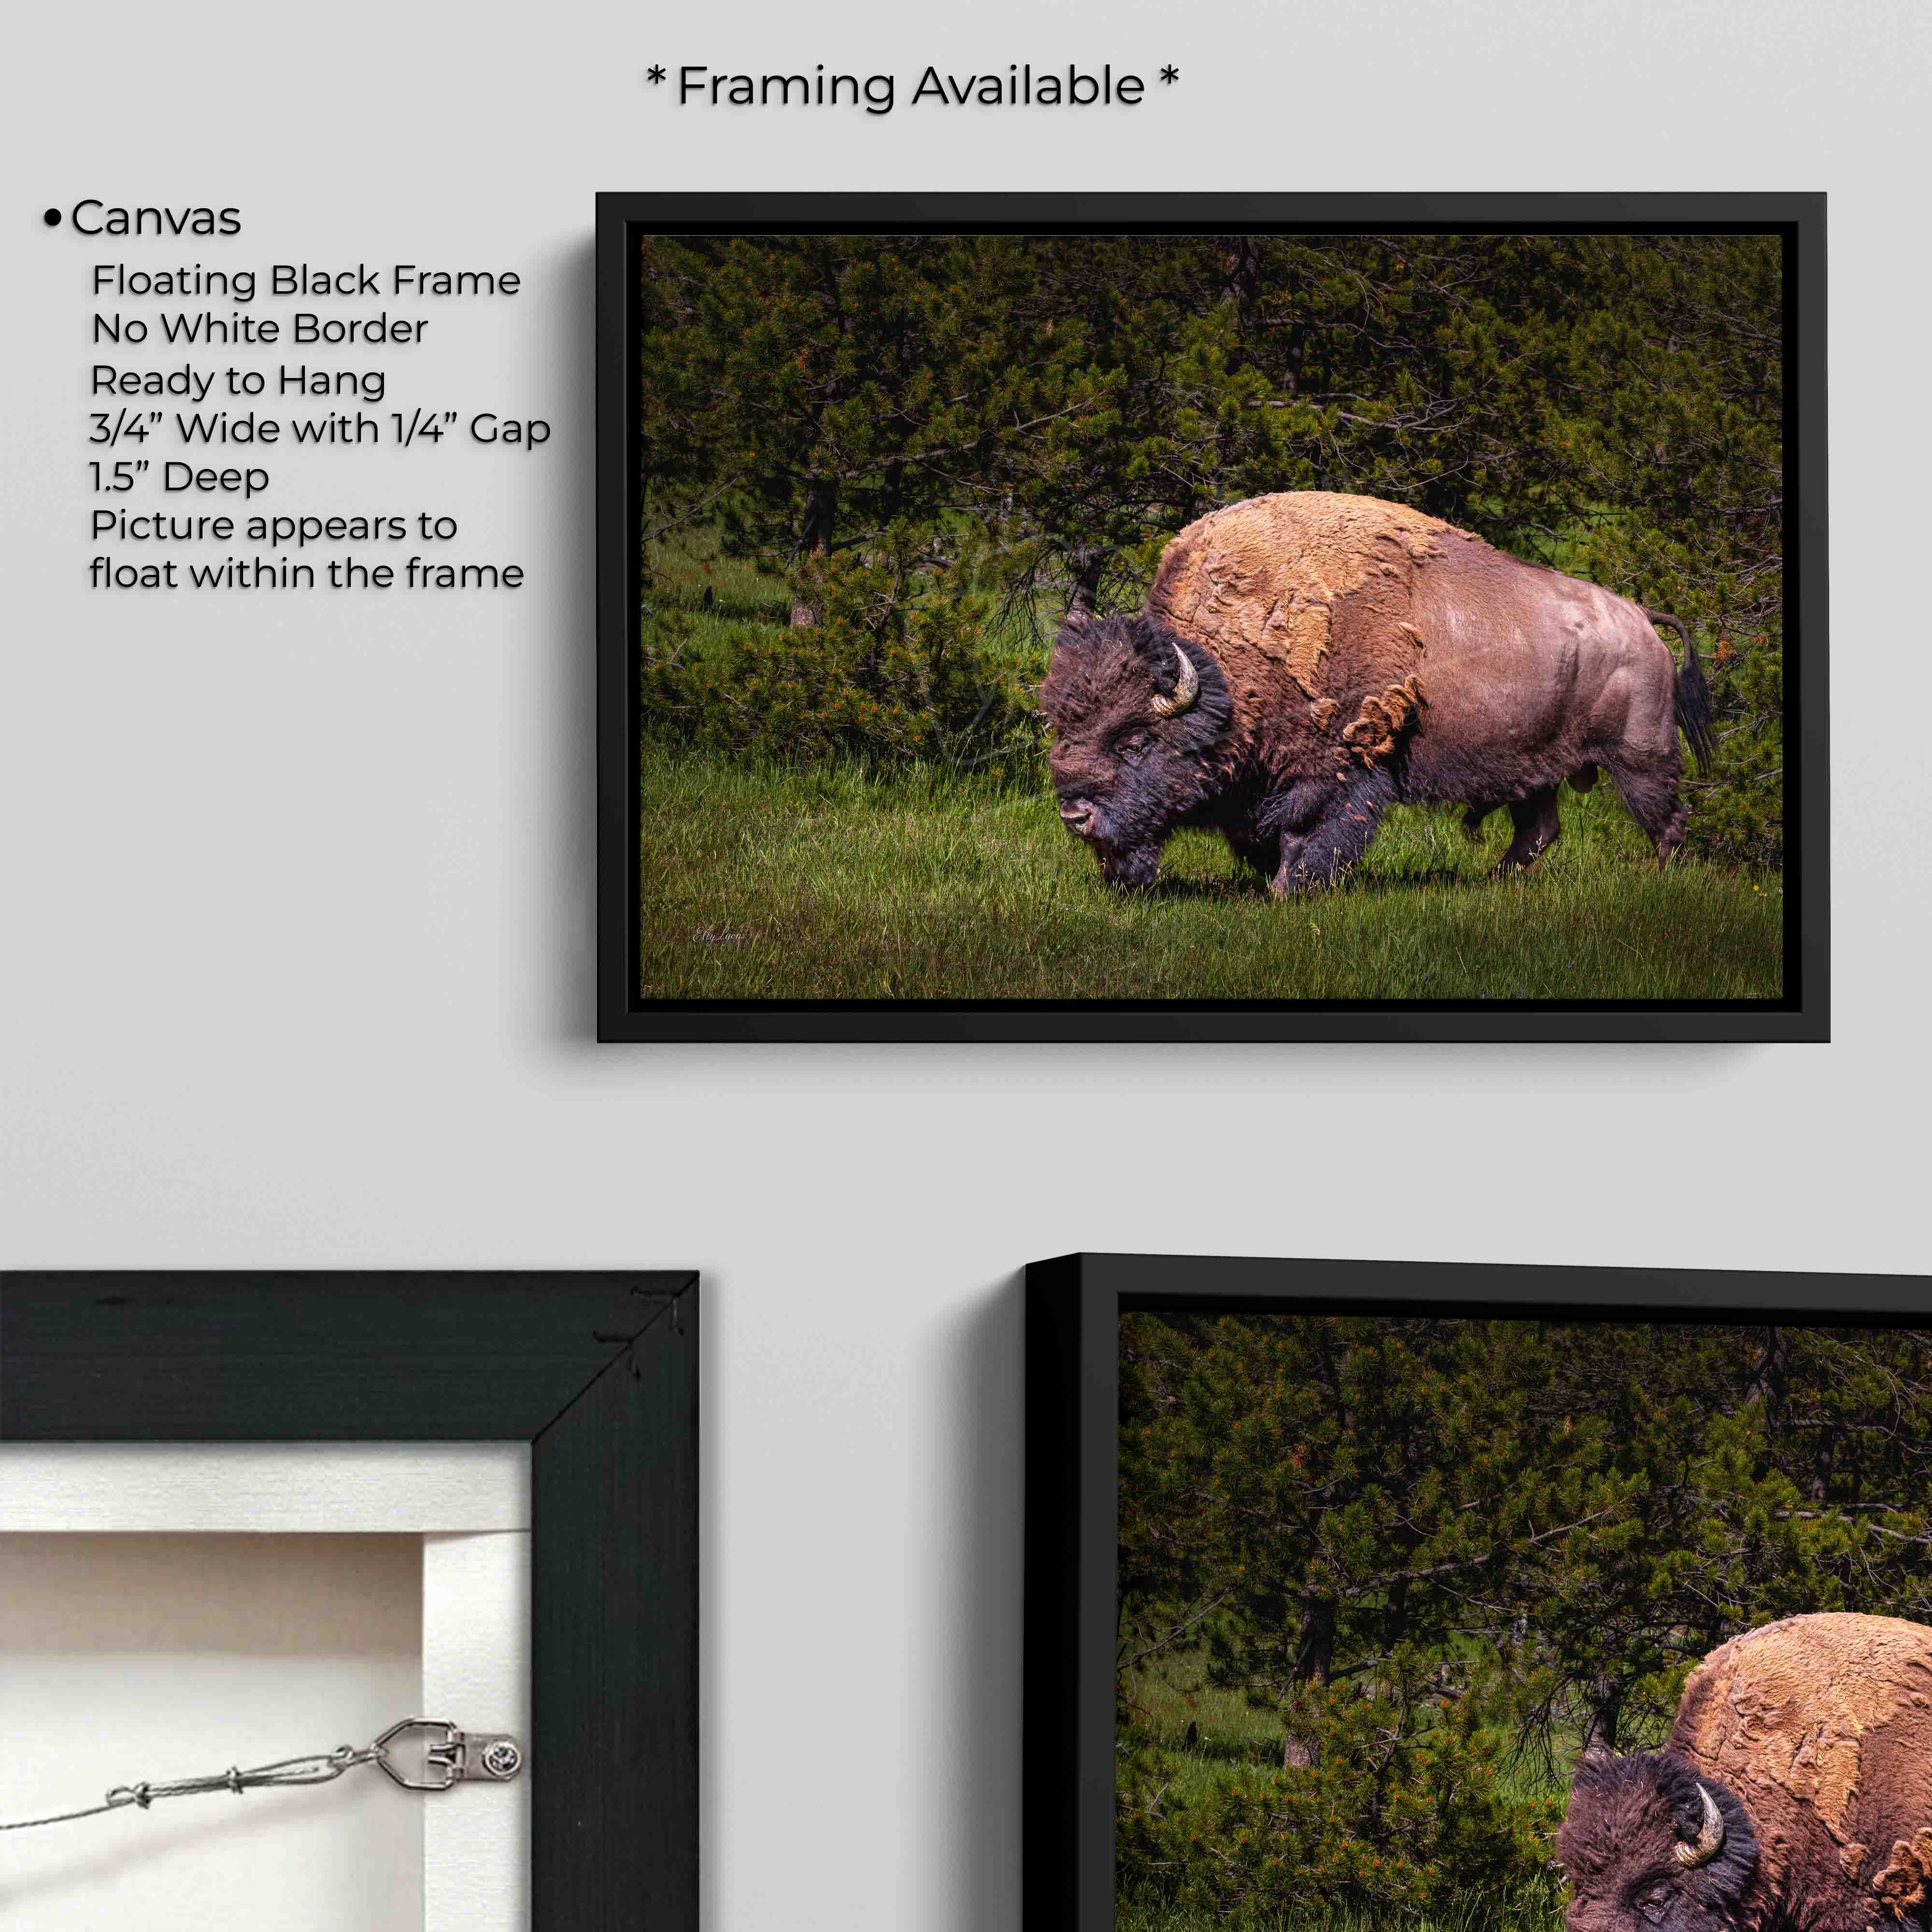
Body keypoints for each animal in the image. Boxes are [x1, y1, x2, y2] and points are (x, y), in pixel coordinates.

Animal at [1039, 491, 1714, 894]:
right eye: (1064, 727)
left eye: (1134, 740)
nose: (1074, 814)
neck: (1230, 671)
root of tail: (1642, 618)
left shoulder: (1335, 771)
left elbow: (1309, 832)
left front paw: (1284, 892)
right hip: (1534, 767)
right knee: (1539, 829)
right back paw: (1491, 882)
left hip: (1640, 756)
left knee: (1665, 819)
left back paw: (1660, 880)